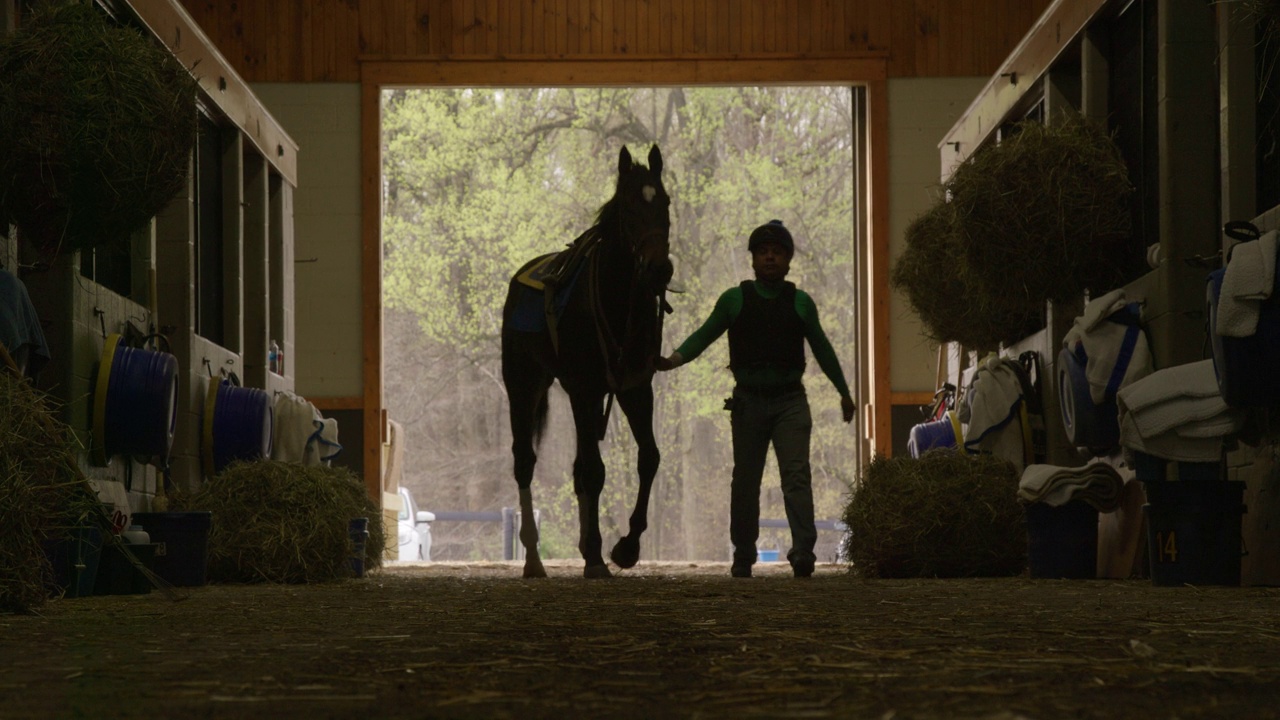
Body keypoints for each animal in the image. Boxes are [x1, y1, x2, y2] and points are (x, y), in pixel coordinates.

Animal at [499, 146, 675, 576]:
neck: (616, 299)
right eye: (628, 206)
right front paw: (596, 556)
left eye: (664, 202)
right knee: (525, 461)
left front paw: (626, 547)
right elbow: (595, 472)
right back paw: (533, 559)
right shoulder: (583, 387)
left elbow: (648, 458)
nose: (660, 269)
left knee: (578, 467)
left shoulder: (633, 387)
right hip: (524, 384)